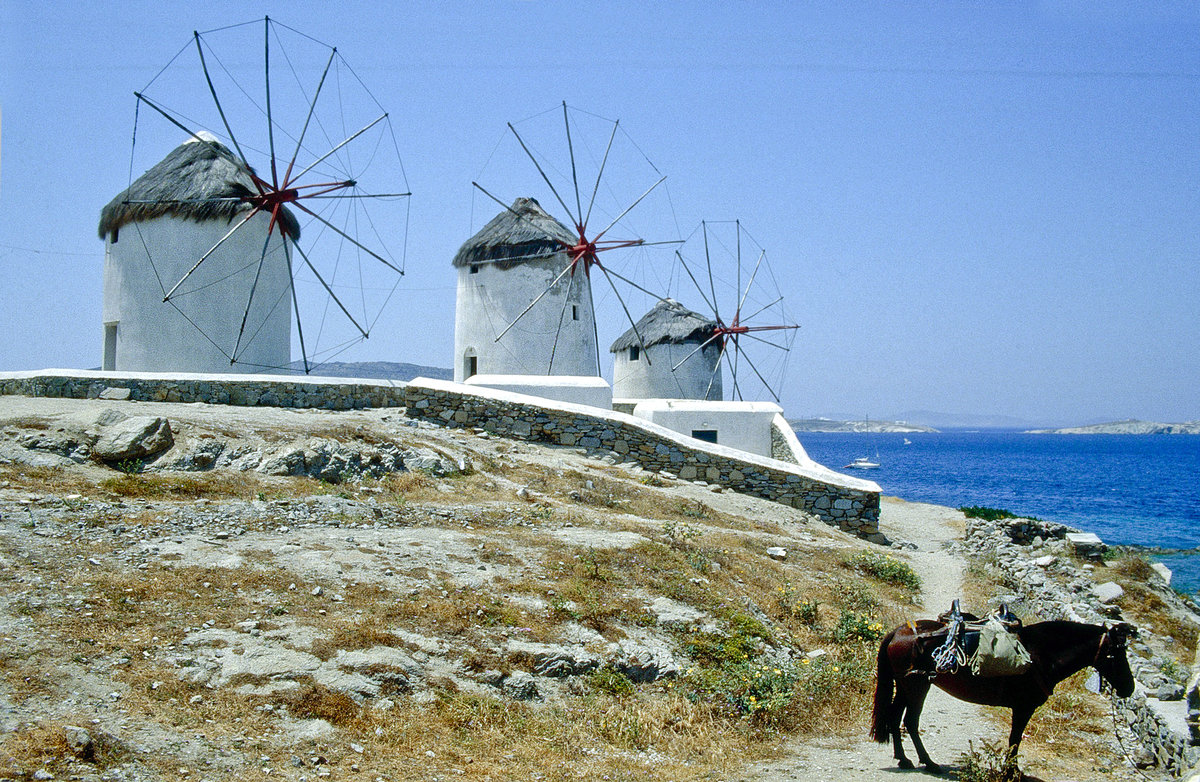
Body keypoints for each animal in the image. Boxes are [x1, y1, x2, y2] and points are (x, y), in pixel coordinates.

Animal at [873, 618, 1132, 772]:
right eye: (1116, 653)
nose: (1129, 688)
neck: (1041, 655)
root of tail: (898, 631)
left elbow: (1014, 740)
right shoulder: (1024, 708)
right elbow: (1014, 739)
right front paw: (1011, 771)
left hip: (905, 686)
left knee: (895, 717)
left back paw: (903, 759)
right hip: (916, 686)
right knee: (910, 721)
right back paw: (928, 762)